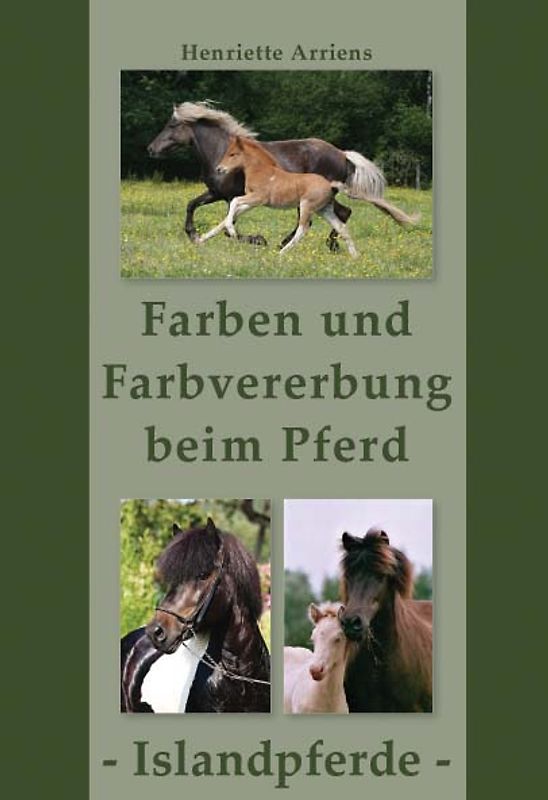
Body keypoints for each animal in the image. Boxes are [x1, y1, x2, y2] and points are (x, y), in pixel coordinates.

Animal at [197, 136, 360, 257]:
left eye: (232, 154)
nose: (219, 169)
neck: (261, 171)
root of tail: (330, 185)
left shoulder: (259, 197)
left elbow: (234, 202)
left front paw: (231, 230)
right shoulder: (252, 202)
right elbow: (228, 216)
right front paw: (201, 238)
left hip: (306, 206)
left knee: (303, 229)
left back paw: (281, 252)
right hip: (324, 209)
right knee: (341, 227)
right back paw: (354, 256)